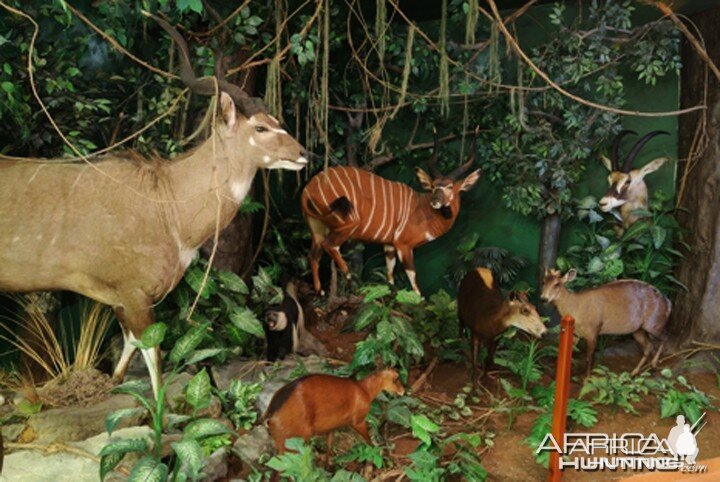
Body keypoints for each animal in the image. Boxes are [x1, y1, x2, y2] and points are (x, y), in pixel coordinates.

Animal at [0, 15, 306, 400]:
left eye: (278, 120)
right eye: (261, 127)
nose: (302, 154)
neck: (166, 202)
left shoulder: (121, 299)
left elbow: (130, 346)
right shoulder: (134, 292)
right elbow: (153, 358)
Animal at [300, 130, 480, 294]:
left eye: (450, 187)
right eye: (434, 185)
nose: (435, 201)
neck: (423, 210)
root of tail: (307, 190)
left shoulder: (389, 244)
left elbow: (389, 271)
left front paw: (391, 293)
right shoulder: (403, 244)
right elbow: (412, 277)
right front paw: (417, 301)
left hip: (318, 228)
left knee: (313, 255)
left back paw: (321, 291)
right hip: (347, 223)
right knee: (330, 246)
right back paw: (352, 280)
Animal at [544, 270, 672, 378]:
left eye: (557, 284)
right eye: (543, 282)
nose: (543, 298)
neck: (575, 310)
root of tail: (668, 302)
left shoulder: (593, 331)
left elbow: (589, 358)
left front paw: (586, 380)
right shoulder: (576, 333)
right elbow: (566, 353)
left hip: (654, 323)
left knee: (665, 337)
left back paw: (654, 364)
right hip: (638, 330)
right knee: (649, 346)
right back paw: (634, 372)